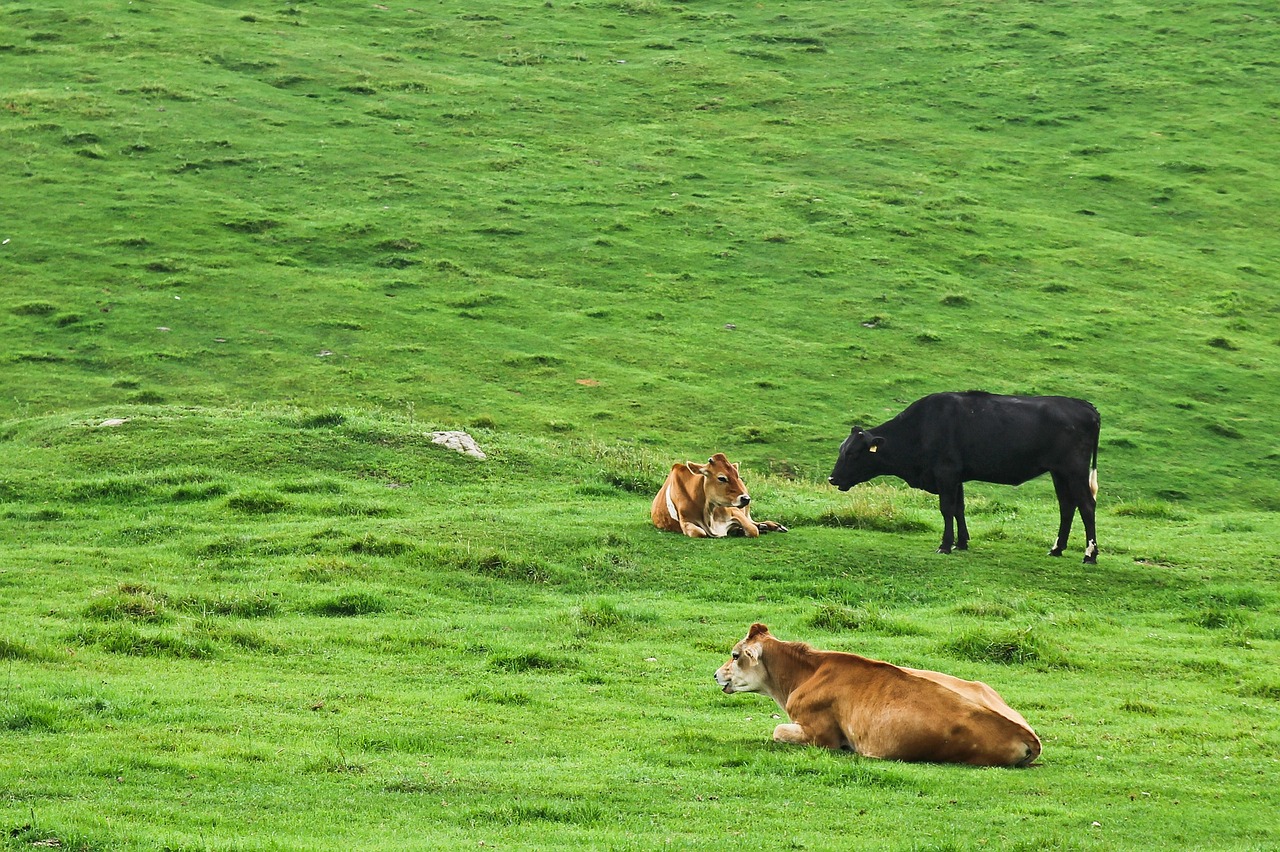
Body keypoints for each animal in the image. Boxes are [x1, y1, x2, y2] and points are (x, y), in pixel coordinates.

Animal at [650, 450, 788, 537]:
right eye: (722, 478)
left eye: (737, 476)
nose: (746, 498)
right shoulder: (685, 522)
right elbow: (699, 533)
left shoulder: (734, 511)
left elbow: (752, 529)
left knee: (754, 522)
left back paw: (774, 526)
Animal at [716, 621, 1044, 767]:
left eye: (734, 655)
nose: (716, 674)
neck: (806, 673)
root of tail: (1027, 734)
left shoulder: (821, 735)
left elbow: (777, 731)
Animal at [829, 391, 1100, 562]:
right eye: (841, 450)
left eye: (852, 453)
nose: (832, 479)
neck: (922, 428)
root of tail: (1086, 406)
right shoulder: (956, 476)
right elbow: (960, 508)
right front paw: (961, 543)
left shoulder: (946, 473)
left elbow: (947, 509)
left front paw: (945, 545)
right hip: (1059, 472)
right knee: (1067, 506)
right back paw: (1057, 548)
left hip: (1074, 470)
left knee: (1086, 506)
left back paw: (1090, 555)